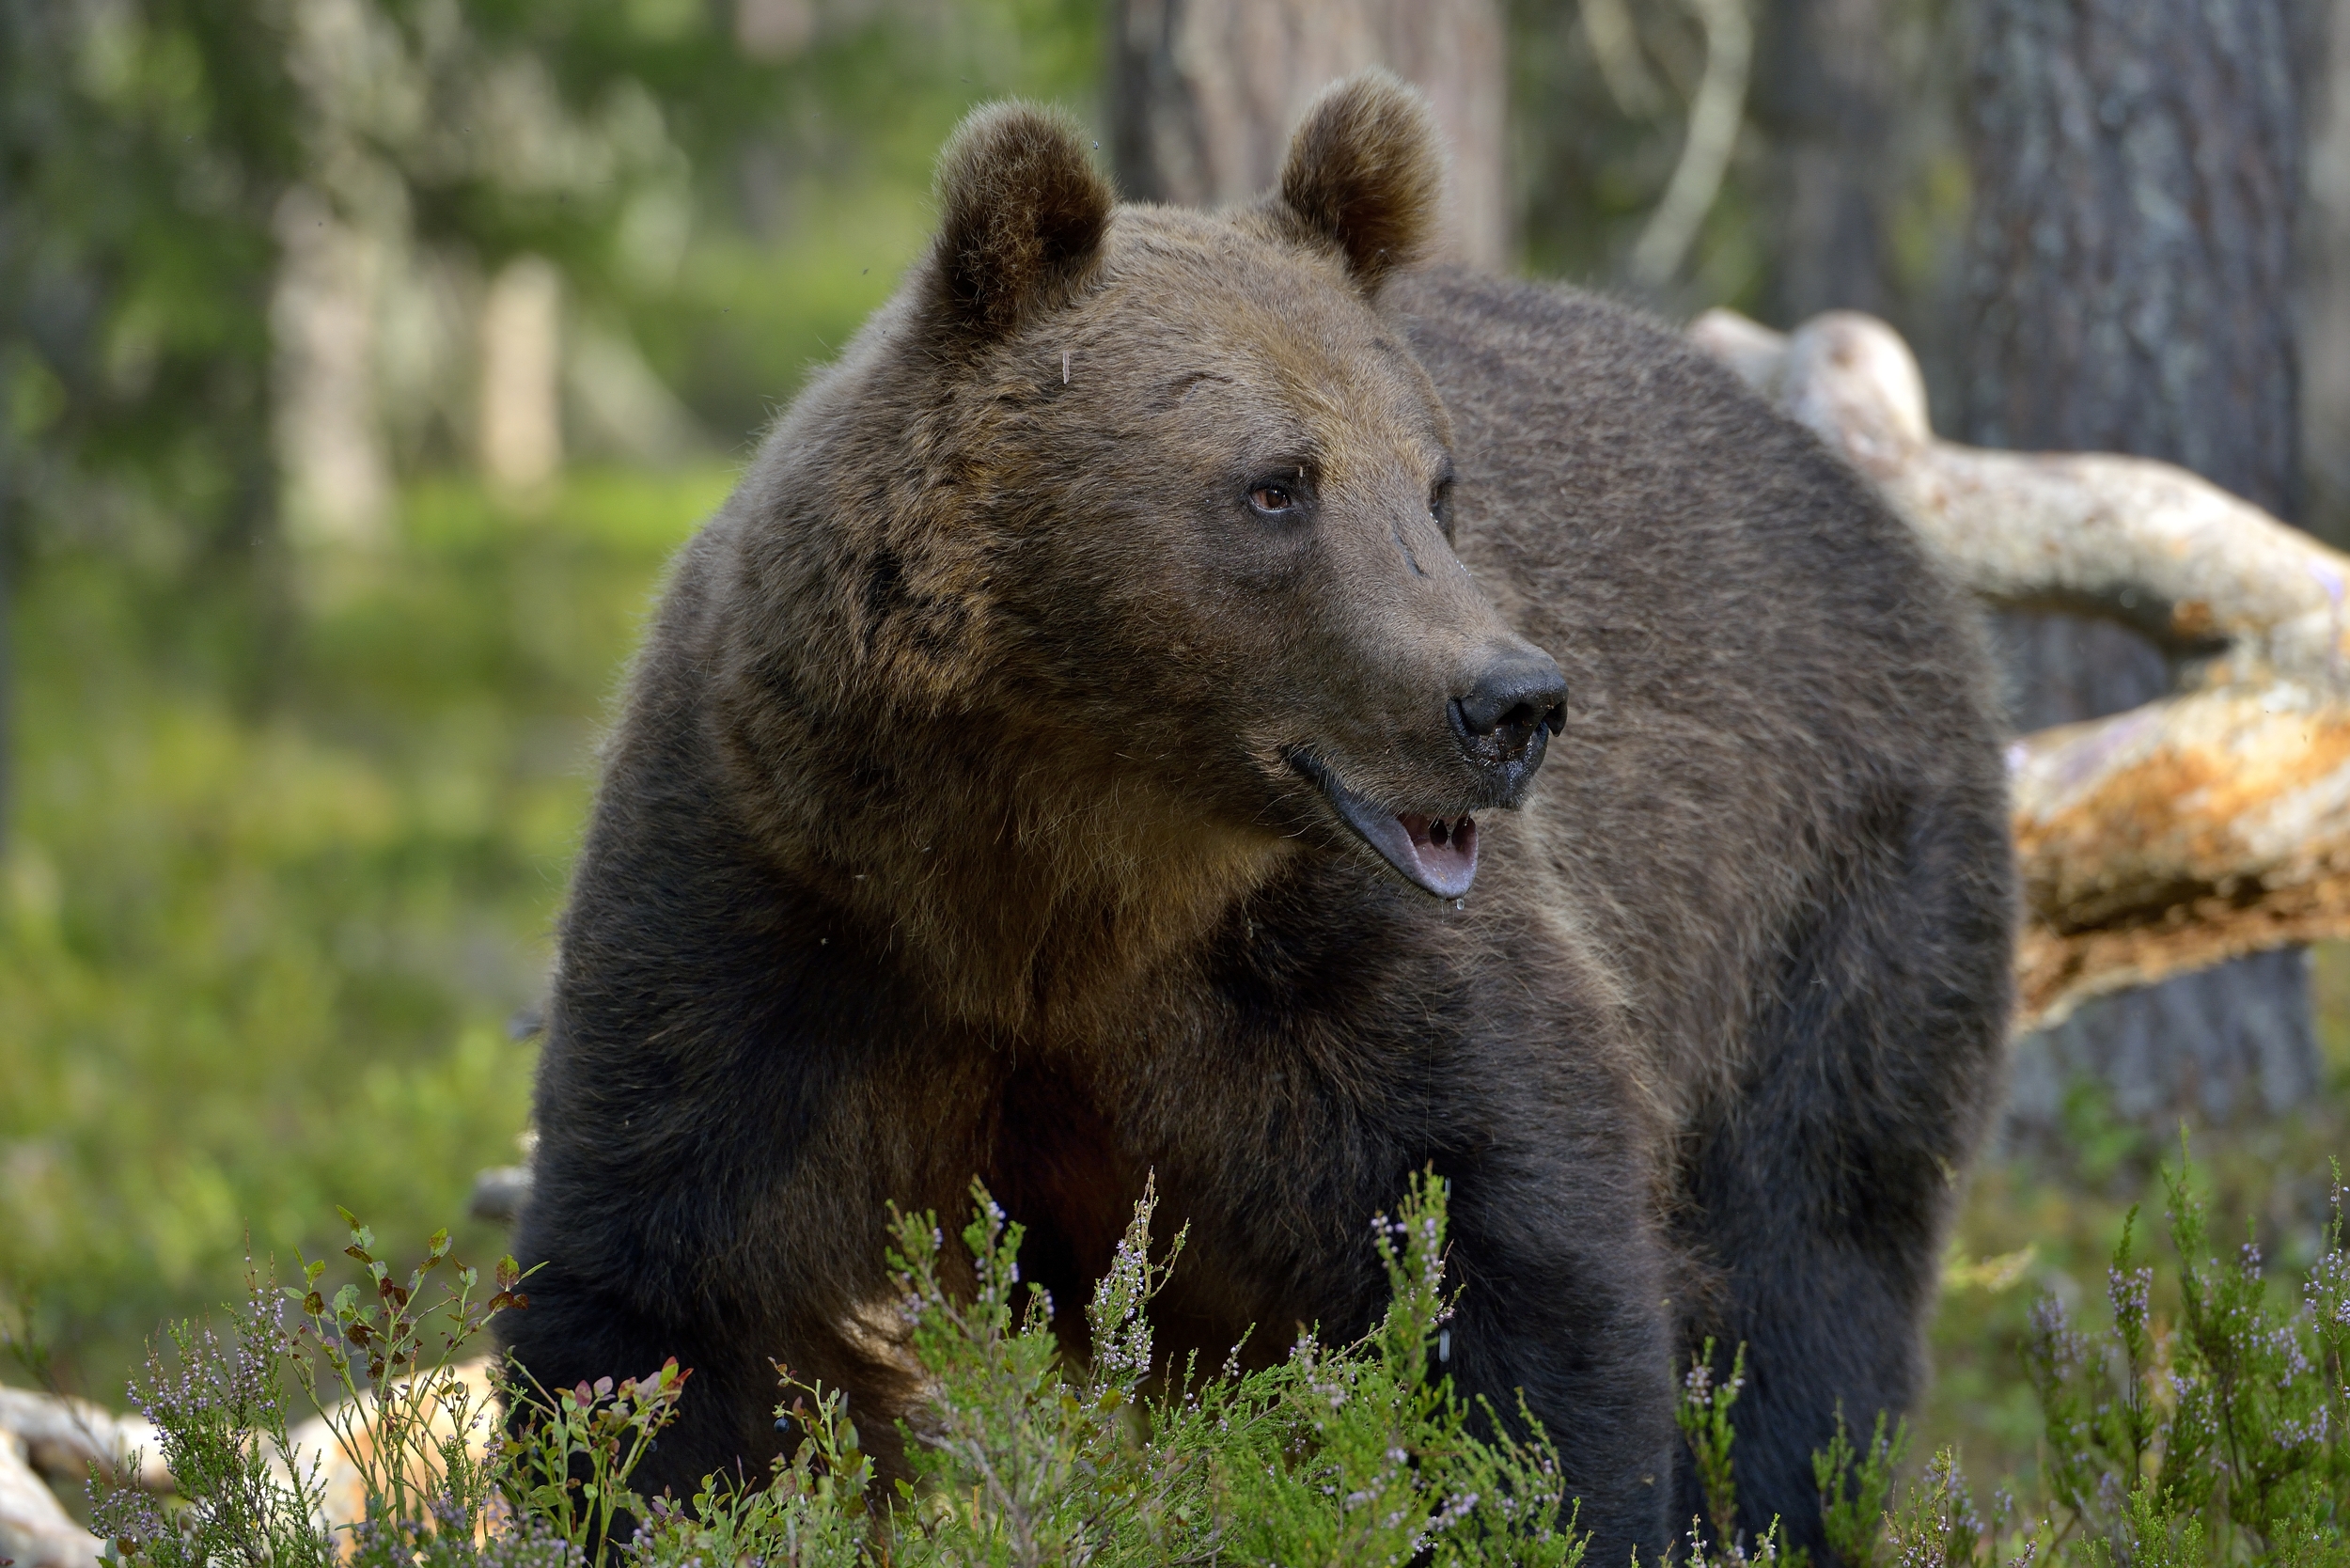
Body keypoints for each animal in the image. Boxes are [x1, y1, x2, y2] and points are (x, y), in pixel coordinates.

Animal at [501, 73, 2014, 1564]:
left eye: (1438, 484)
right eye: (1277, 484)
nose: (1511, 705)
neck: (1061, 853)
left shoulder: (1335, 969)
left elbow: (1514, 1260)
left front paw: (1554, 1498)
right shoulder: (779, 907)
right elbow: (667, 1301)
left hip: (1832, 896)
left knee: (1807, 1258)